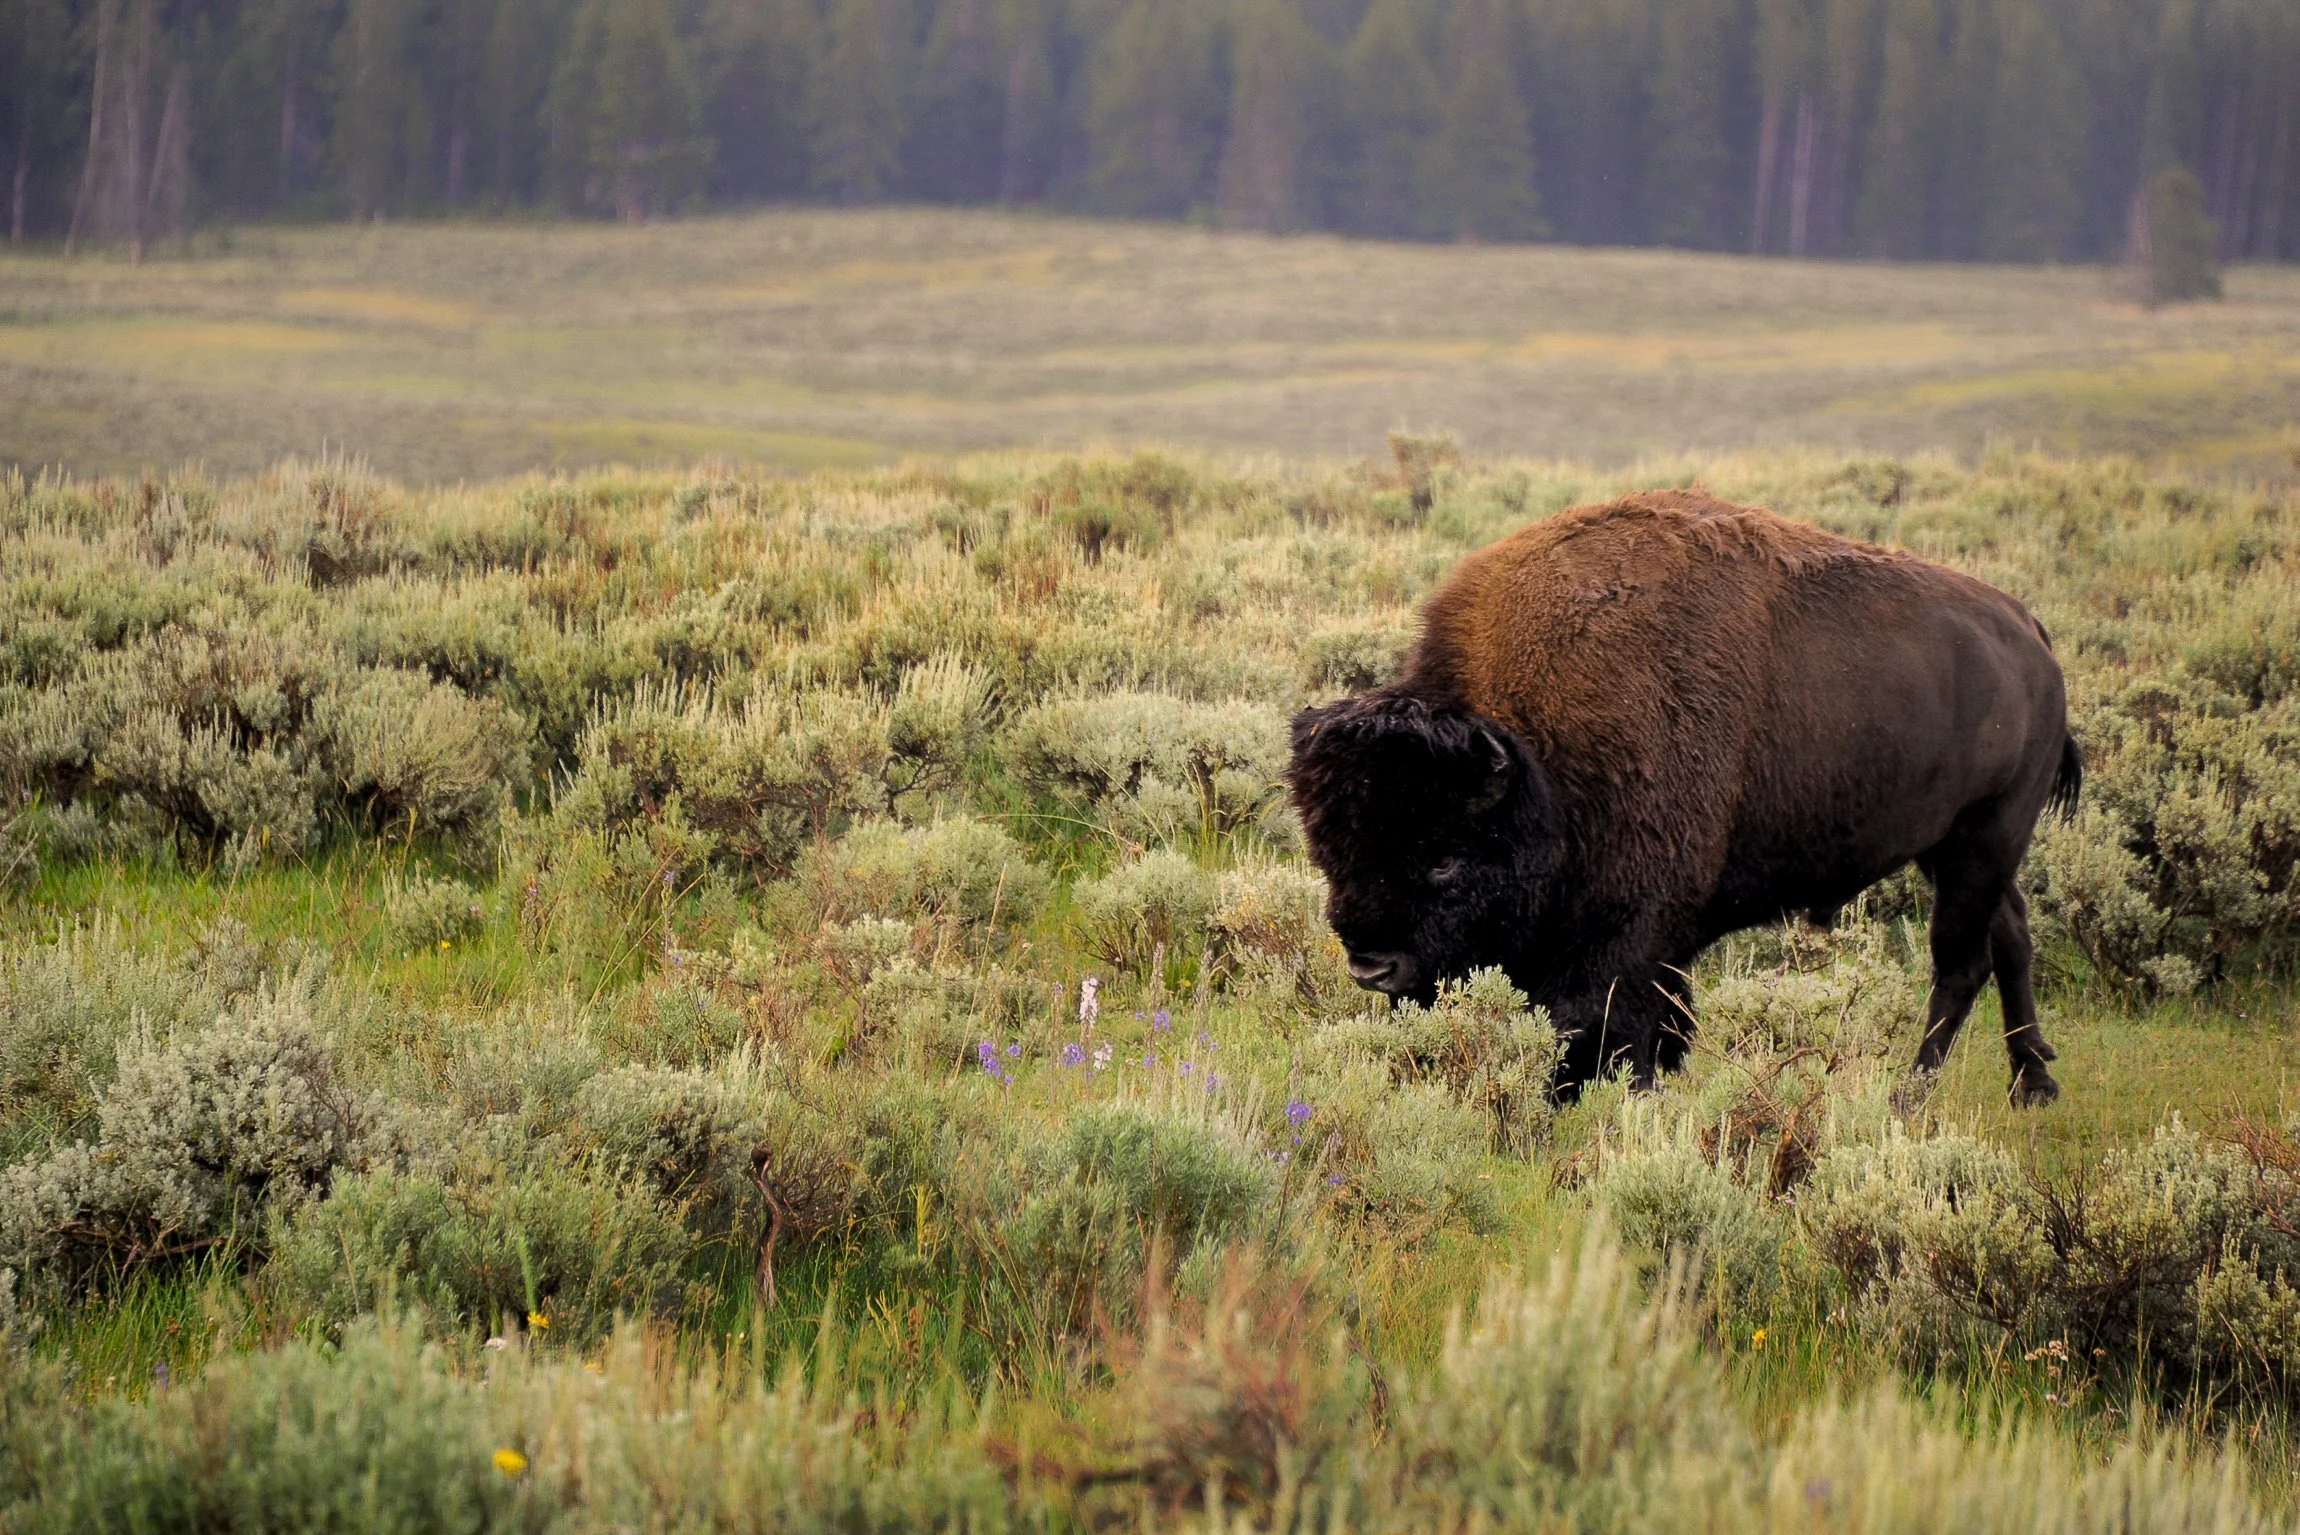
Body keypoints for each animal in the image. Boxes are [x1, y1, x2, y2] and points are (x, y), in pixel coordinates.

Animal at [1288, 489, 2078, 1105]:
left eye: (1444, 860)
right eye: (1329, 850)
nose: (1370, 966)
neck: (1539, 755)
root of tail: (2028, 629)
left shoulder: (1632, 930)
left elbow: (1614, 1021)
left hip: (1987, 834)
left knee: (1961, 962)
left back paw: (1909, 1097)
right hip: (1955, 846)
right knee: (2011, 933)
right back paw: (2033, 1084)